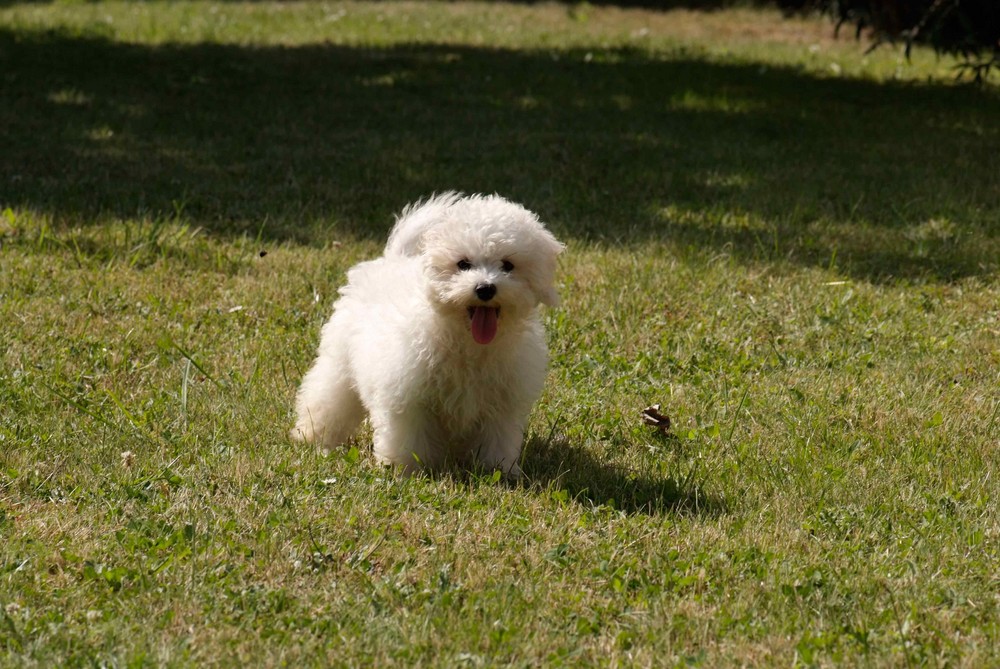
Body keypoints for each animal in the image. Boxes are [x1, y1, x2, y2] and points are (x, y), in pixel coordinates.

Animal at [292, 193, 568, 474]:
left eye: (508, 265)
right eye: (463, 264)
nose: (485, 288)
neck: (467, 342)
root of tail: (393, 259)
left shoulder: (502, 402)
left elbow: (497, 437)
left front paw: (498, 470)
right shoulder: (409, 397)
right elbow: (408, 435)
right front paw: (403, 469)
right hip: (339, 361)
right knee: (328, 395)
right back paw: (313, 435)